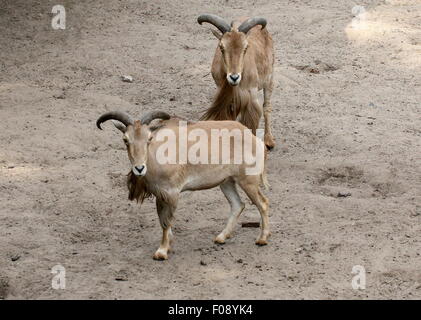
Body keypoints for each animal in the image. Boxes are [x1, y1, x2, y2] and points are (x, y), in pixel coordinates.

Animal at [96, 110, 270, 260]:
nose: (139, 168)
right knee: (237, 204)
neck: (158, 156)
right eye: (125, 140)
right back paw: (221, 237)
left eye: (149, 138)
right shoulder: (160, 195)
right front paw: (168, 244)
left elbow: (166, 221)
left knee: (262, 203)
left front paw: (162, 252)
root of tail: (256, 140)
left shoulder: (172, 193)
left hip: (248, 181)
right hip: (226, 182)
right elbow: (162, 219)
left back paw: (262, 239)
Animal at [198, 14, 276, 150]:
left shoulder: (251, 95)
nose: (234, 77)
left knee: (267, 107)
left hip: (269, 79)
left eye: (245, 48)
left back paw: (269, 140)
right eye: (221, 47)